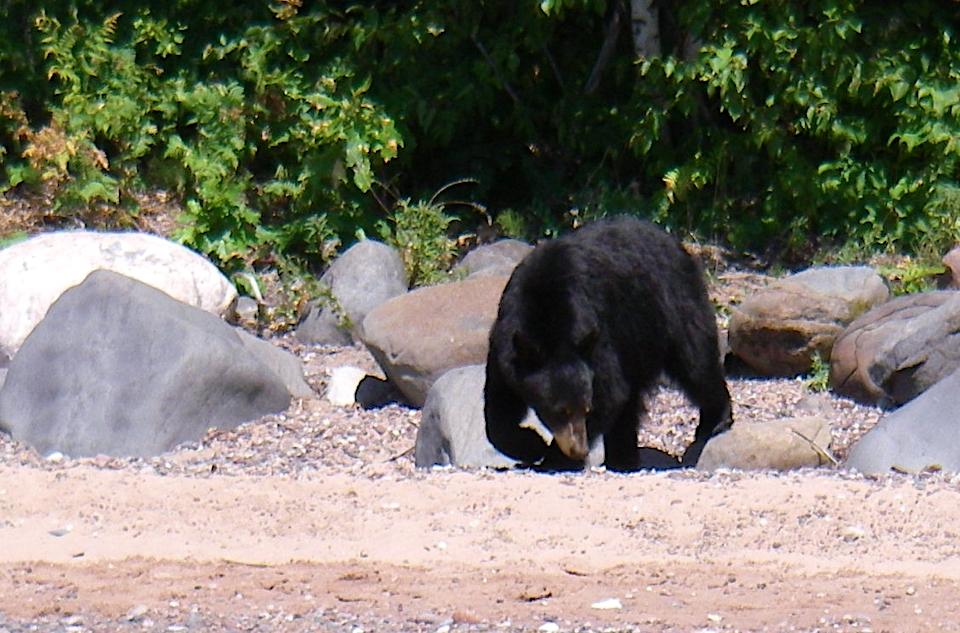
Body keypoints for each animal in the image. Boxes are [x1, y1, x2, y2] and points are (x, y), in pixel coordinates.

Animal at [484, 216, 732, 470]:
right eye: (560, 411)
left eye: (586, 408)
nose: (579, 449)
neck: (547, 318)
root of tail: (673, 242)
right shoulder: (506, 345)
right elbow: (499, 406)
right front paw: (531, 444)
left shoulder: (598, 335)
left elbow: (610, 392)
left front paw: (554, 459)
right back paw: (622, 458)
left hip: (673, 306)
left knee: (696, 363)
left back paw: (715, 420)